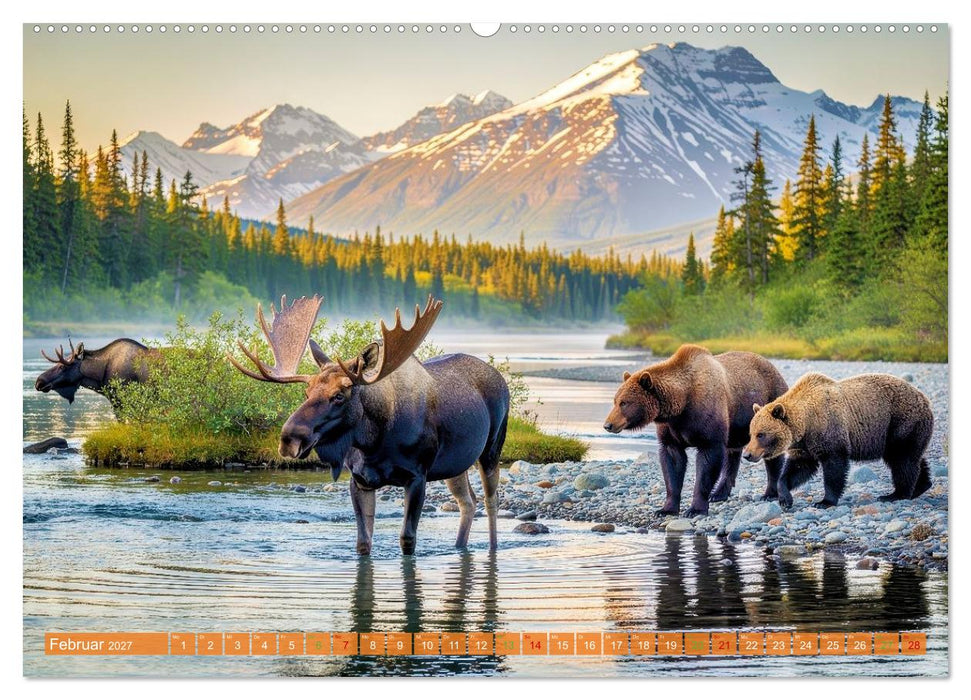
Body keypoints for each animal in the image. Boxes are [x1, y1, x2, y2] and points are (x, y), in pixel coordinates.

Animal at [604, 344, 789, 516]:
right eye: (615, 400)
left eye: (624, 402)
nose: (607, 424)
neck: (682, 403)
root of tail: (772, 366)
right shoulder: (671, 429)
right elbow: (672, 462)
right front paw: (666, 509)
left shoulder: (707, 420)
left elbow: (707, 462)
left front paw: (696, 509)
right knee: (732, 455)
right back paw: (719, 494)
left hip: (769, 404)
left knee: (771, 452)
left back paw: (769, 493)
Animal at [742, 372, 934, 509]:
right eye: (751, 433)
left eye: (761, 434)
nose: (747, 454)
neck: (807, 422)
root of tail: (925, 398)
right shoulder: (804, 445)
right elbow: (797, 469)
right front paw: (784, 499)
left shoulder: (829, 430)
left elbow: (834, 467)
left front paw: (824, 502)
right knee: (913, 457)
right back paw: (921, 486)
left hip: (901, 422)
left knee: (902, 459)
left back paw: (895, 495)